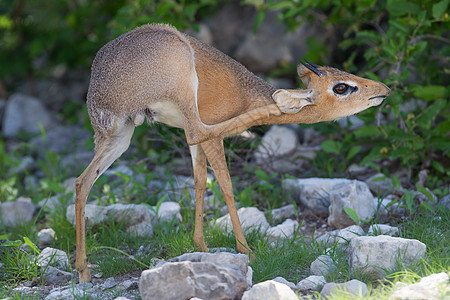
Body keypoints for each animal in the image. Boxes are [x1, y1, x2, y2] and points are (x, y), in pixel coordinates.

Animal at [74, 23, 390, 282]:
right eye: (342, 87)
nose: (384, 89)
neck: (245, 91)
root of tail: (99, 88)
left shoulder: (196, 147)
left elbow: (200, 182)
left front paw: (201, 246)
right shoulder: (210, 140)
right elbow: (225, 184)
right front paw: (245, 249)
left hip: (119, 137)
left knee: (82, 182)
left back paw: (83, 270)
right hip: (179, 86)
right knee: (200, 130)